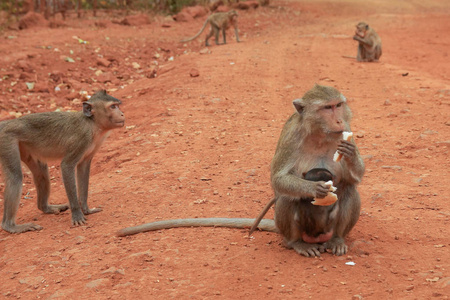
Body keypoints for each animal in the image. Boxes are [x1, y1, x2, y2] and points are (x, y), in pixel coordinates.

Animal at [0, 90, 125, 233]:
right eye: (113, 107)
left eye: (117, 105)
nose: (122, 113)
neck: (92, 124)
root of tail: (7, 123)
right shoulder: (82, 139)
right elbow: (67, 166)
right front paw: (77, 214)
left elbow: (83, 167)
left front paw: (86, 209)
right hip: (7, 140)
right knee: (15, 177)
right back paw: (10, 226)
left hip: (24, 146)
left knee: (41, 173)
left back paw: (45, 207)